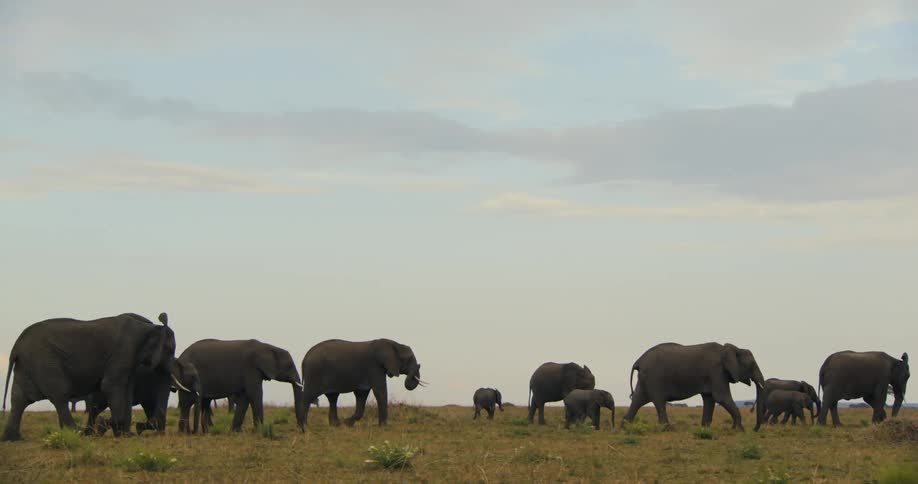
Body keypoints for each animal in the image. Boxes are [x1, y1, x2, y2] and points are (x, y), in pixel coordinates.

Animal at [1, 312, 176, 441]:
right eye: (169, 349)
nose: (146, 425)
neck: (151, 327)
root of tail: (15, 347)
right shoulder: (124, 350)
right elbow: (110, 386)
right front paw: (106, 426)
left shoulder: (131, 360)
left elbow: (127, 390)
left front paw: (125, 434)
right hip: (44, 361)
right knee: (59, 395)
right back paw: (77, 432)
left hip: (26, 365)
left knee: (19, 399)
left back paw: (13, 438)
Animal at [622, 342, 765, 431]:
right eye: (752, 364)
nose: (755, 429)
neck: (732, 349)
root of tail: (638, 361)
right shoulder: (716, 371)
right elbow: (721, 397)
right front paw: (739, 430)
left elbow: (709, 398)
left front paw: (705, 428)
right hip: (654, 378)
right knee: (658, 401)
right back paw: (667, 429)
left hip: (645, 379)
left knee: (638, 399)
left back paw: (625, 426)